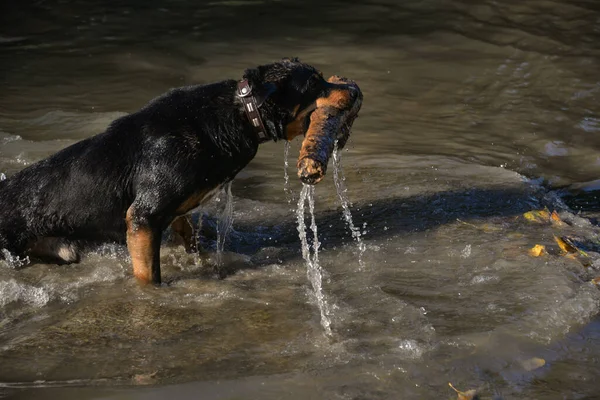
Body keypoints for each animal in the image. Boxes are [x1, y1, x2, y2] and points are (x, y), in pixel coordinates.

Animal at [0, 58, 360, 284]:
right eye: (313, 84)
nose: (355, 89)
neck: (240, 114)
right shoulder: (142, 217)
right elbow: (149, 277)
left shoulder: (173, 213)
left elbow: (191, 240)